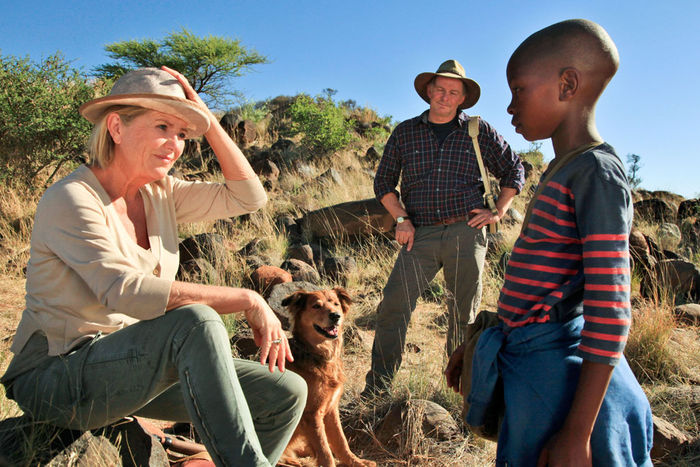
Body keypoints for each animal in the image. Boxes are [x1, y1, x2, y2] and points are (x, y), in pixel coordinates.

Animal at [280, 288, 378, 467]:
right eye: (316, 306)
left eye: (336, 304)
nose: (335, 316)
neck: (319, 355)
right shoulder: (312, 415)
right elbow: (325, 451)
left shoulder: (331, 409)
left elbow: (341, 441)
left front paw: (356, 462)